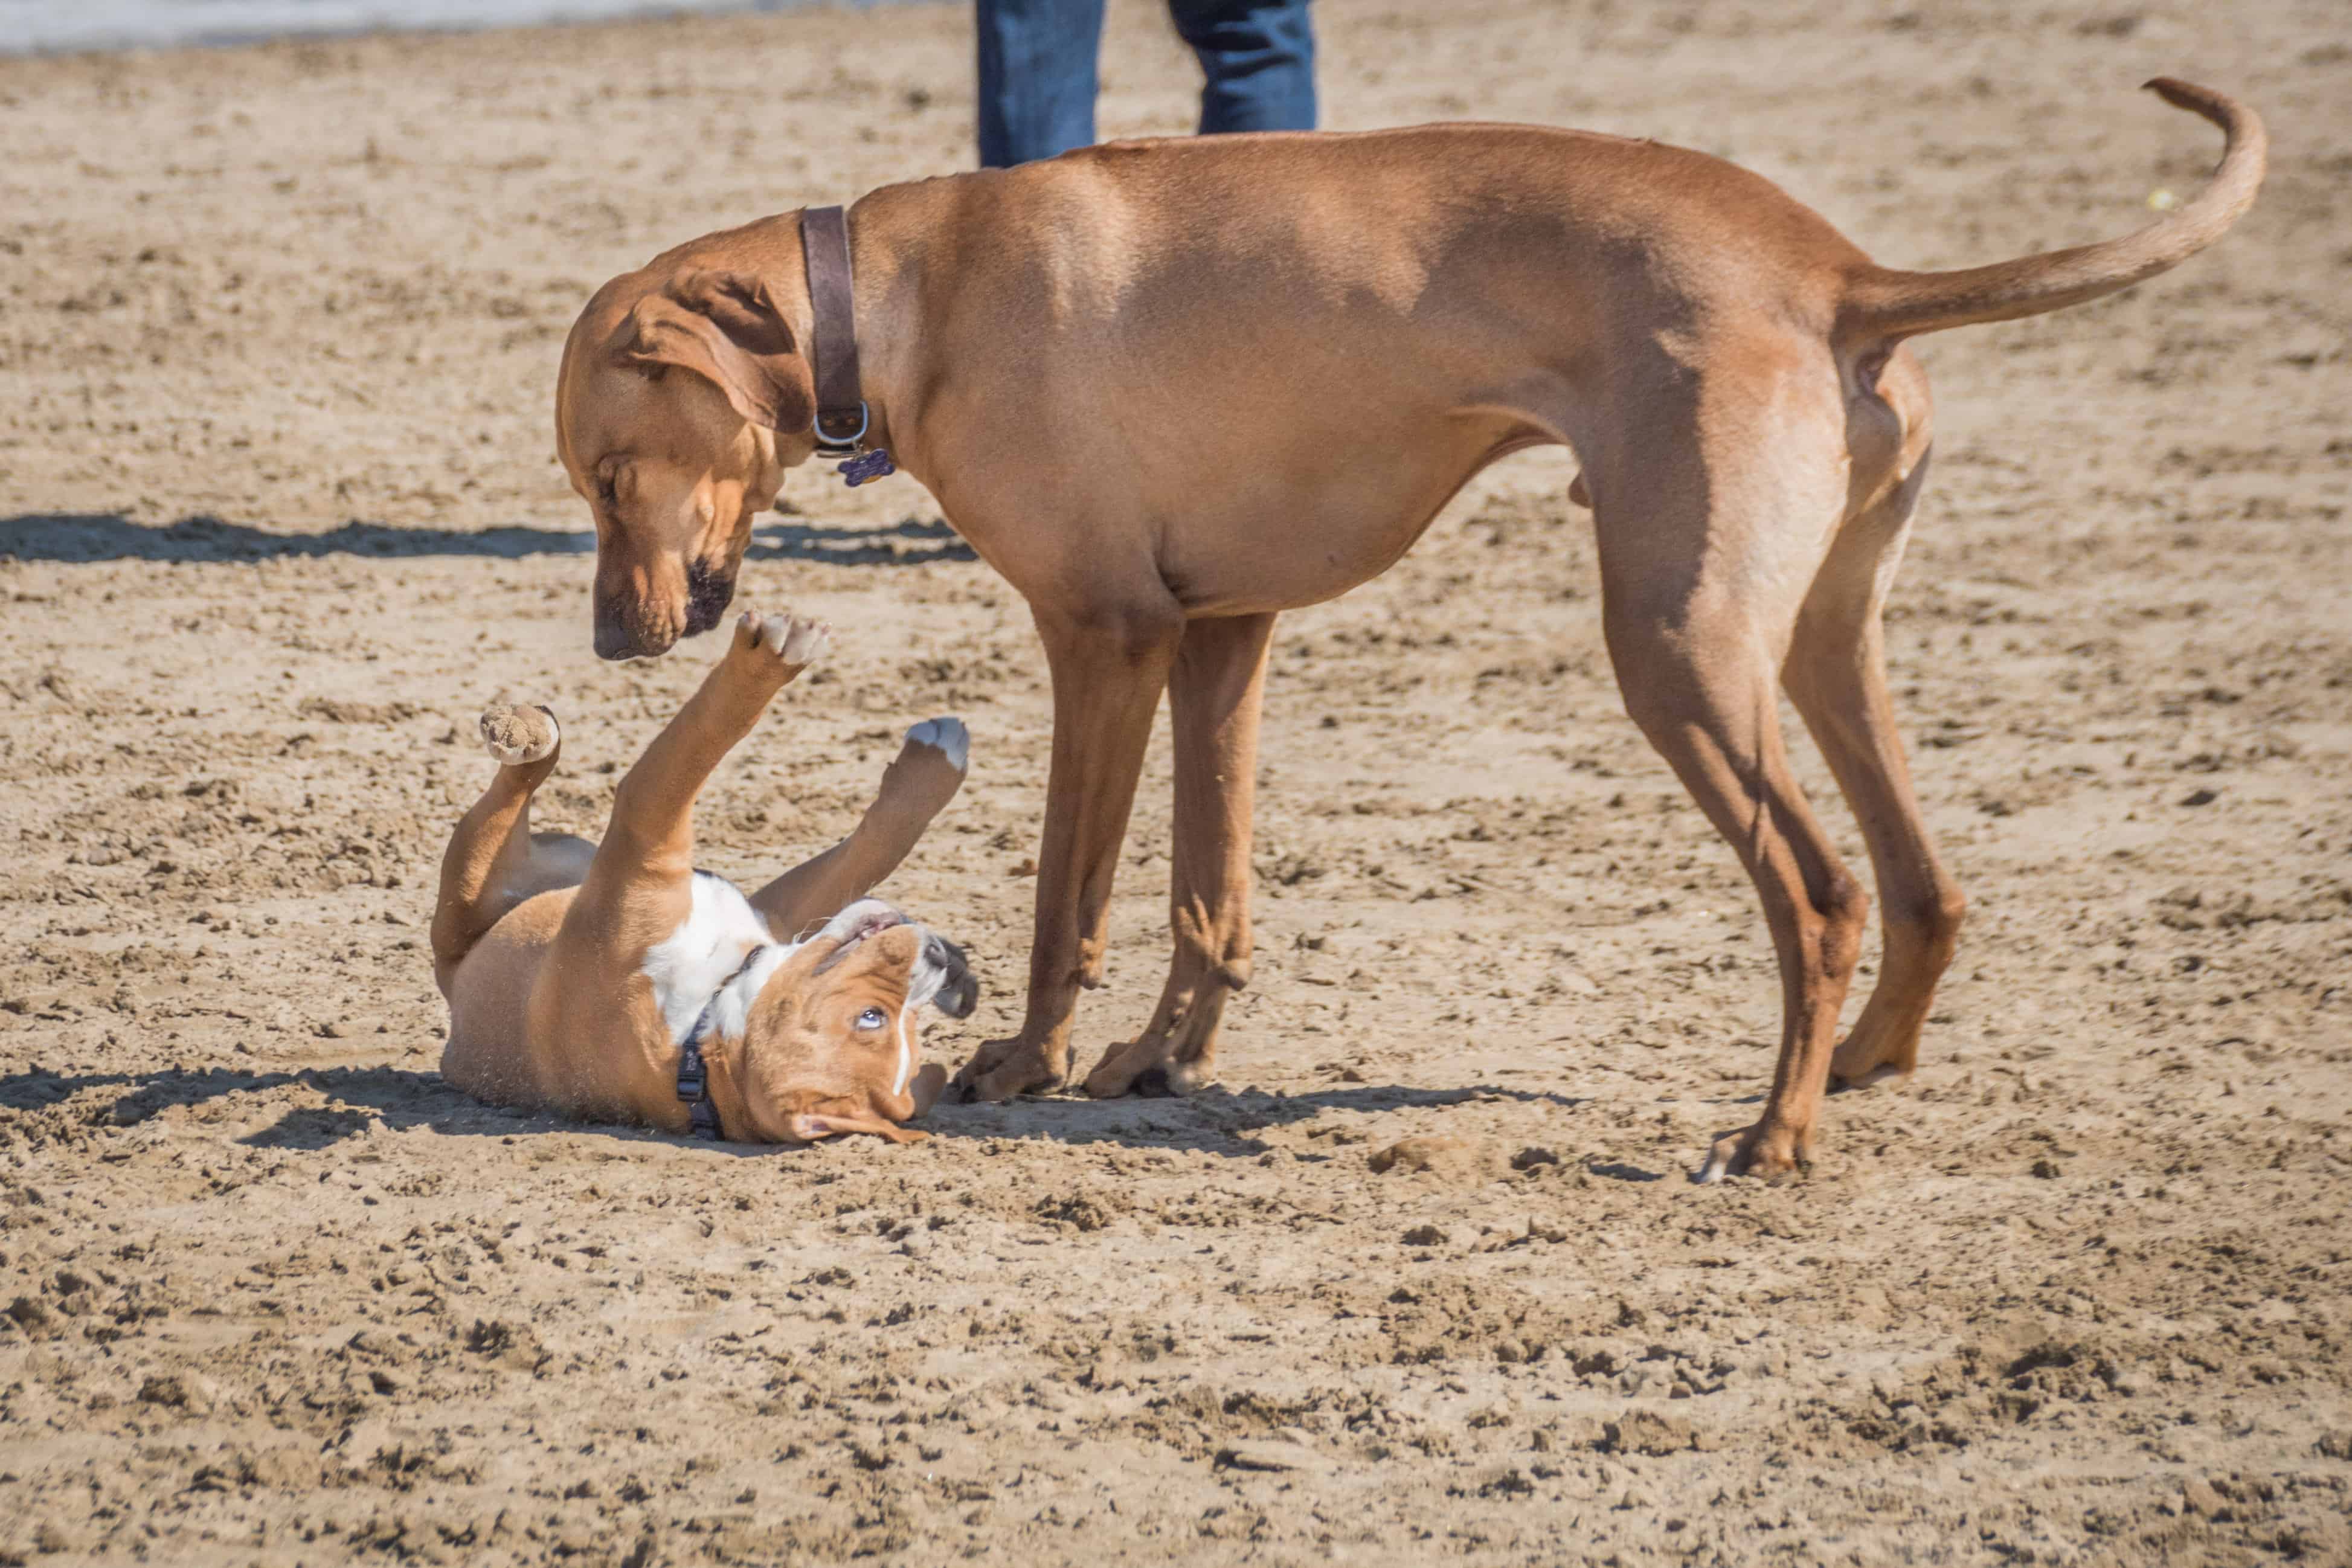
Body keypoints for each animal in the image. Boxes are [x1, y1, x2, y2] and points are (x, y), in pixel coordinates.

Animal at [432, 611, 974, 1142]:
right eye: (875, 1018)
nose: (936, 955)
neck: (700, 1032)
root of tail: (451, 983)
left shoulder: (643, 832)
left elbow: (698, 742)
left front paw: (772, 655)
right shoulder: (776, 911)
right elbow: (877, 842)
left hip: (474, 875)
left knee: (514, 789)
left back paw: (523, 735)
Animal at [550, 76, 2258, 1175]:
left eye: (614, 472)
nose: (614, 647)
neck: (908, 294)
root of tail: (1840, 271)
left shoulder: (1104, 638)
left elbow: (1067, 898)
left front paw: (1029, 1062)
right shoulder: (1221, 636)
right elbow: (1211, 890)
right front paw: (1163, 1060)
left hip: (1678, 655)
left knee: (1822, 891)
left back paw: (1774, 1134)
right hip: (1822, 646)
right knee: (1922, 881)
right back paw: (1859, 1068)